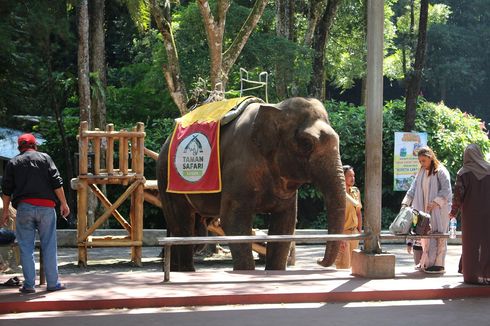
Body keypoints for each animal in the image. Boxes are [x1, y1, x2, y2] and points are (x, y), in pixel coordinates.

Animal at [157, 97, 344, 270]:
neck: (276, 107)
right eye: (307, 143)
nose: (318, 261)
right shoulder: (239, 166)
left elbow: (285, 223)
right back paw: (185, 272)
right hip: (167, 180)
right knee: (183, 226)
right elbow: (233, 220)